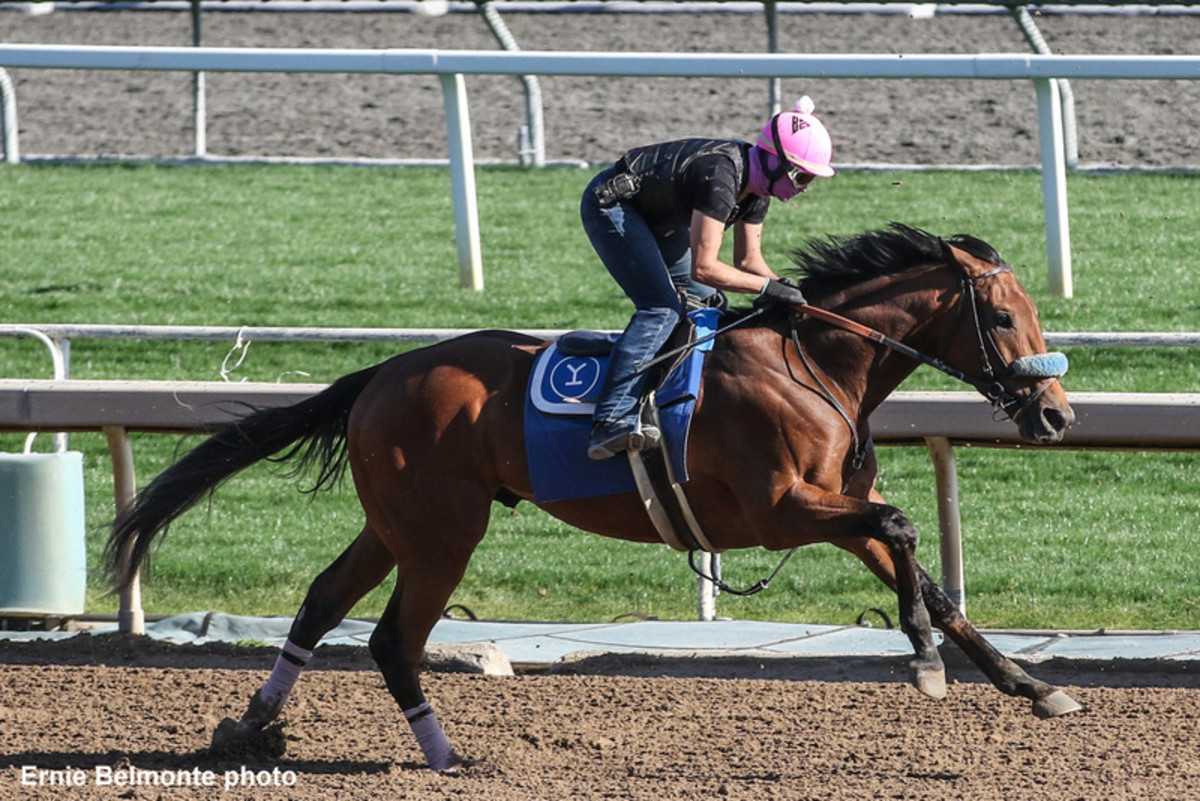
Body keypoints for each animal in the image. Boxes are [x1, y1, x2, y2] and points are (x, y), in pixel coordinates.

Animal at [105, 224, 1080, 767]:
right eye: (1001, 317)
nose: (1057, 413)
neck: (812, 364)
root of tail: (380, 373)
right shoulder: (779, 511)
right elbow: (905, 526)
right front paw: (921, 659)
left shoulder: (832, 510)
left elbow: (933, 578)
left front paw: (1029, 684)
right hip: (441, 531)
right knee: (391, 639)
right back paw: (447, 756)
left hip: (394, 523)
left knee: (319, 603)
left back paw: (252, 727)